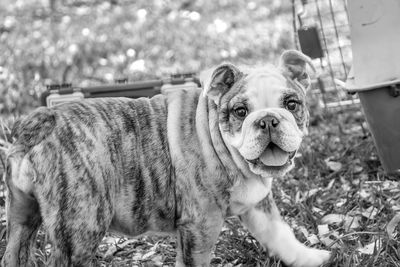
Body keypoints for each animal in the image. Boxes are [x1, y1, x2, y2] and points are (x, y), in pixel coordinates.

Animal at [2, 50, 332, 267]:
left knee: (14, 252)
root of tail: (41, 122)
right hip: (81, 228)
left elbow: (280, 234)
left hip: (22, 217)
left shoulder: (257, 205)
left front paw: (310, 257)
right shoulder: (200, 227)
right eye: (241, 112)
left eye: (291, 104)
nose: (267, 121)